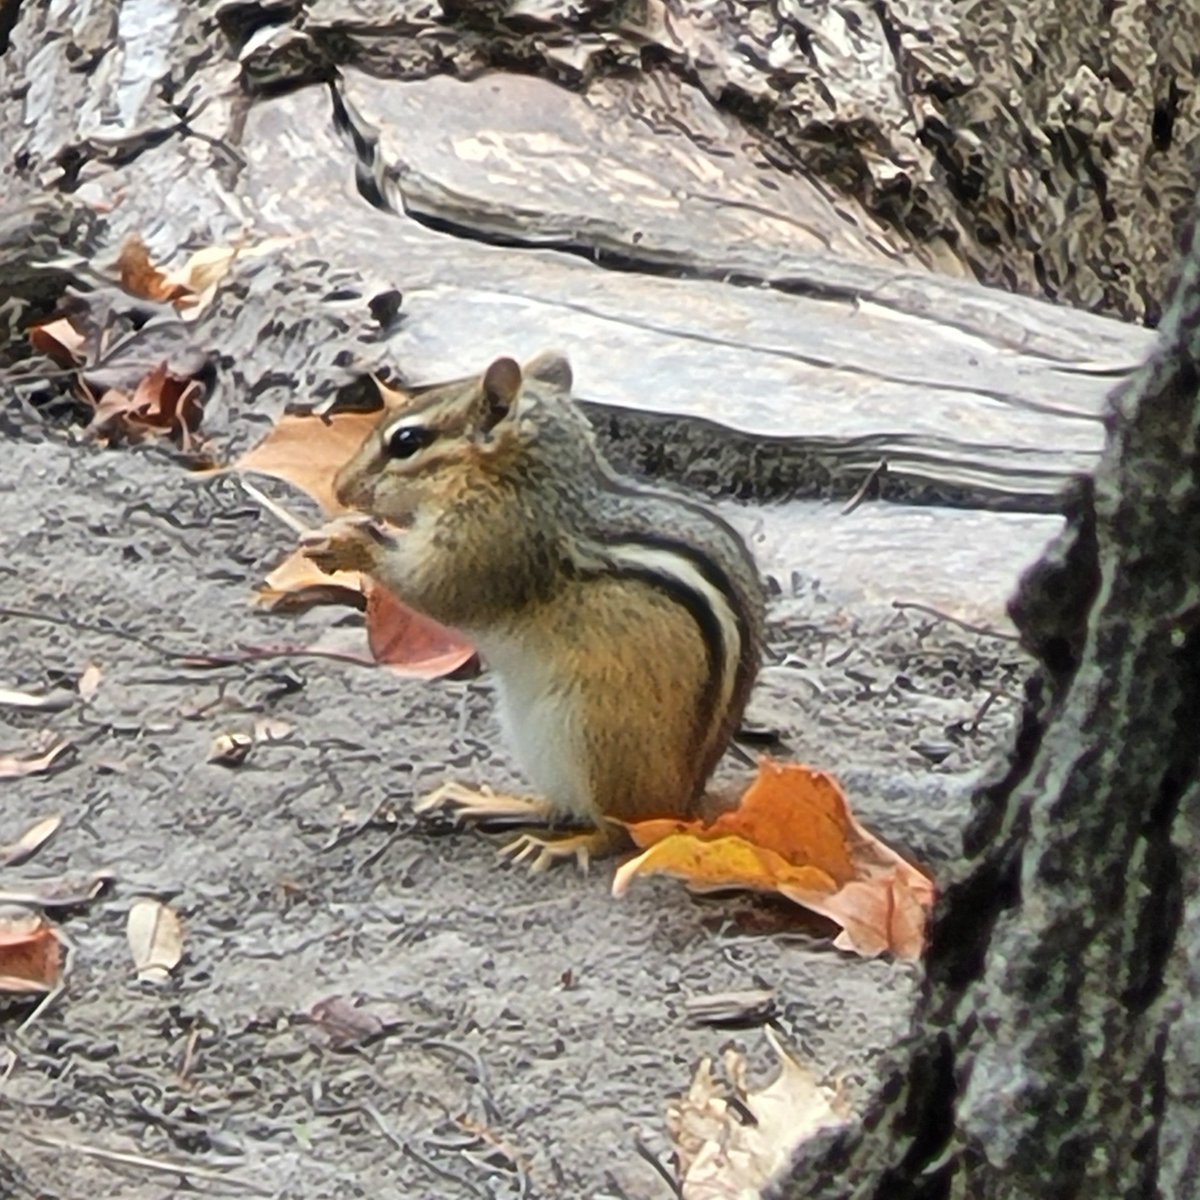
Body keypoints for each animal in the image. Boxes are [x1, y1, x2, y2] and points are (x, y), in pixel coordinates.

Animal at [301, 352, 765, 870]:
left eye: (406, 442)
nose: (340, 488)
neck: (524, 479)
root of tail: (686, 805)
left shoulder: (491, 541)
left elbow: (431, 587)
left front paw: (350, 543)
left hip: (595, 739)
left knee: (617, 834)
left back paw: (563, 845)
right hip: (535, 738)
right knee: (558, 805)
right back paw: (487, 801)